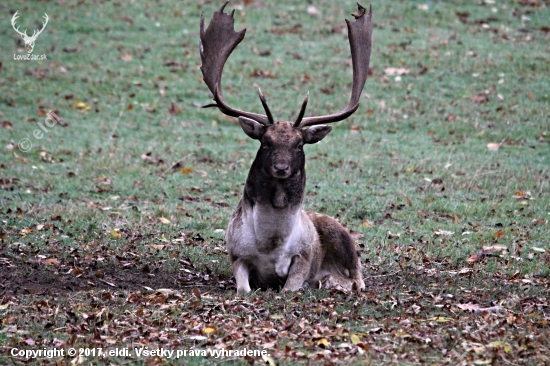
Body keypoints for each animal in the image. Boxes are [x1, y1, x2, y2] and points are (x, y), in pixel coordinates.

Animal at [199, 2, 376, 294]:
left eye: (299, 145)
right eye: (265, 142)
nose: (281, 167)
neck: (270, 244)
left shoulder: (303, 256)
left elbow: (290, 288)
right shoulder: (236, 253)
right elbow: (243, 288)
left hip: (341, 235)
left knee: (358, 277)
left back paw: (333, 282)